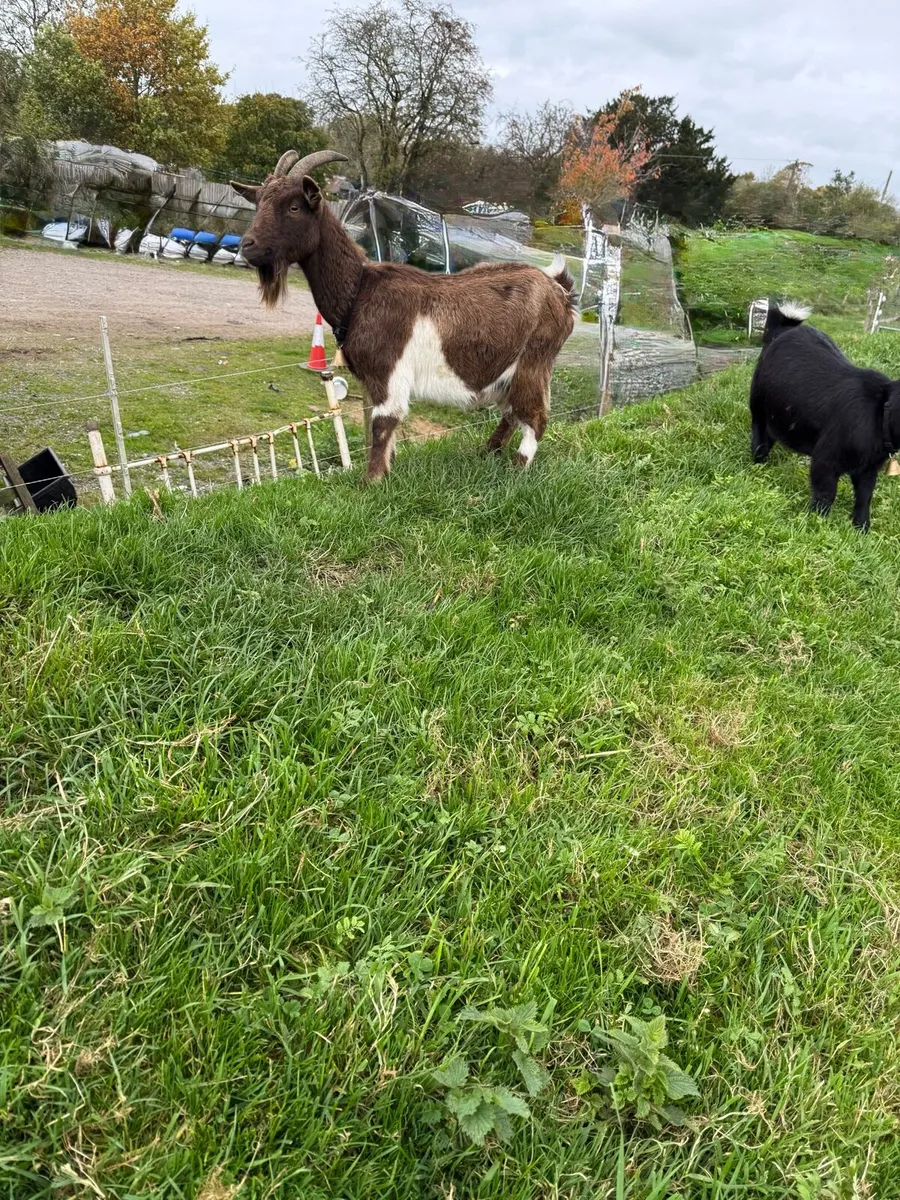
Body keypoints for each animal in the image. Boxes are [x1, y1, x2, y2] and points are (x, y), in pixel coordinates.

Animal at [231, 150, 577, 481]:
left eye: (293, 207)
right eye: (259, 202)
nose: (247, 246)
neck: (360, 290)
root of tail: (559, 290)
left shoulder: (388, 370)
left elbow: (382, 424)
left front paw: (371, 481)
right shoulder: (372, 380)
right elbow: (385, 430)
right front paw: (388, 469)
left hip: (533, 362)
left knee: (535, 417)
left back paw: (517, 469)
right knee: (511, 412)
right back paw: (487, 453)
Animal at [749, 301, 900, 530]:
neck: (880, 412)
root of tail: (784, 328)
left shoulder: (868, 468)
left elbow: (864, 496)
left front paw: (861, 528)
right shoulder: (826, 458)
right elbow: (826, 493)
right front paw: (816, 522)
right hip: (757, 401)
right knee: (759, 433)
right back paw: (758, 465)